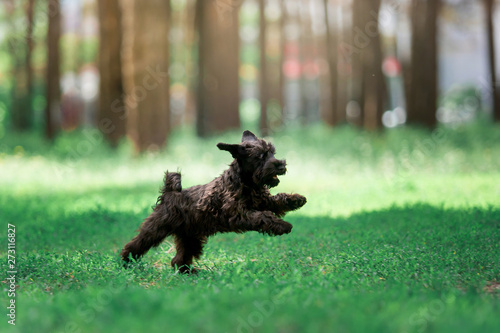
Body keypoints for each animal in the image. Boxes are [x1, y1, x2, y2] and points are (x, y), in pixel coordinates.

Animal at [122, 130, 308, 272]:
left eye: (272, 153)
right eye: (261, 155)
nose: (281, 165)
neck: (246, 183)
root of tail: (169, 192)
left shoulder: (262, 202)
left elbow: (276, 200)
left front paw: (297, 200)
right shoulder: (239, 214)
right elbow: (263, 217)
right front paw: (283, 226)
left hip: (190, 238)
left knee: (178, 259)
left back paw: (188, 273)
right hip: (156, 229)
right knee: (137, 244)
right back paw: (126, 261)